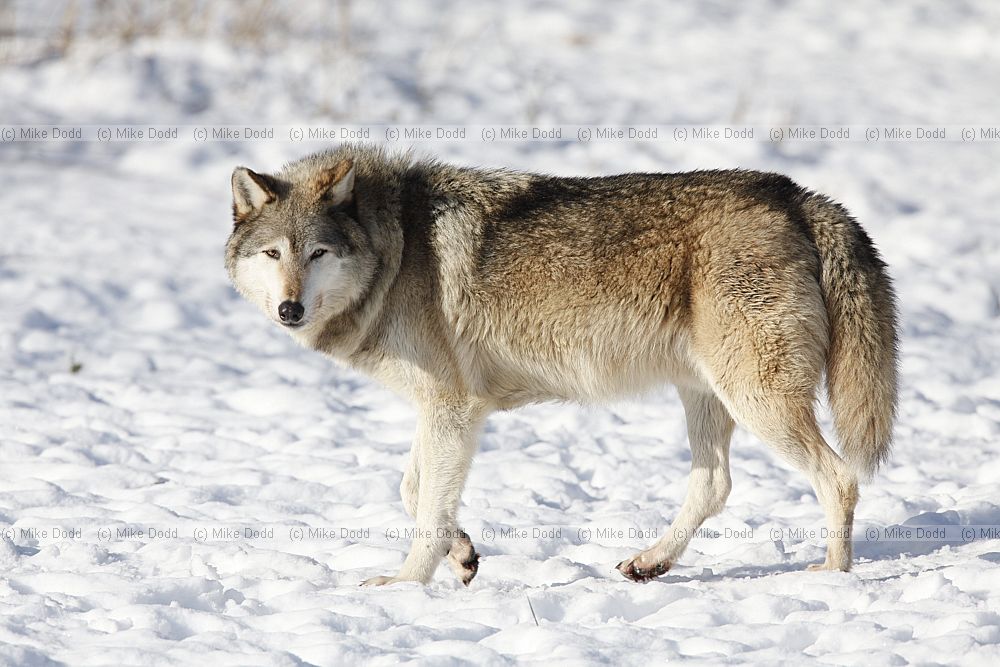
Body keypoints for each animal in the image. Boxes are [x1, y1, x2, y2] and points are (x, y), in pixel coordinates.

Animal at [225, 144, 898, 586]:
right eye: (272, 254)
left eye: (317, 252)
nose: (289, 308)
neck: (396, 247)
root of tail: (800, 196)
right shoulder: (440, 410)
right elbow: (414, 491)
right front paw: (462, 553)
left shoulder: (453, 408)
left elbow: (426, 508)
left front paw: (403, 587)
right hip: (706, 395)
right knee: (716, 486)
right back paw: (650, 562)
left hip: (756, 400)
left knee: (839, 478)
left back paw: (832, 578)